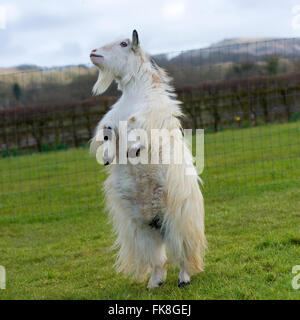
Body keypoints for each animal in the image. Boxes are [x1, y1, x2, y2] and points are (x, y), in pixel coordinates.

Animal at [89, 30, 206, 290]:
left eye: (124, 43)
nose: (93, 52)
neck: (135, 94)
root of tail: (157, 223)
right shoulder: (112, 123)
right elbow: (109, 133)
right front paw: (109, 156)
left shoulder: (152, 120)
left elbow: (139, 131)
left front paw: (134, 149)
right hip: (141, 228)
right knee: (157, 259)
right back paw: (154, 282)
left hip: (177, 221)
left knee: (181, 254)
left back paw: (183, 279)